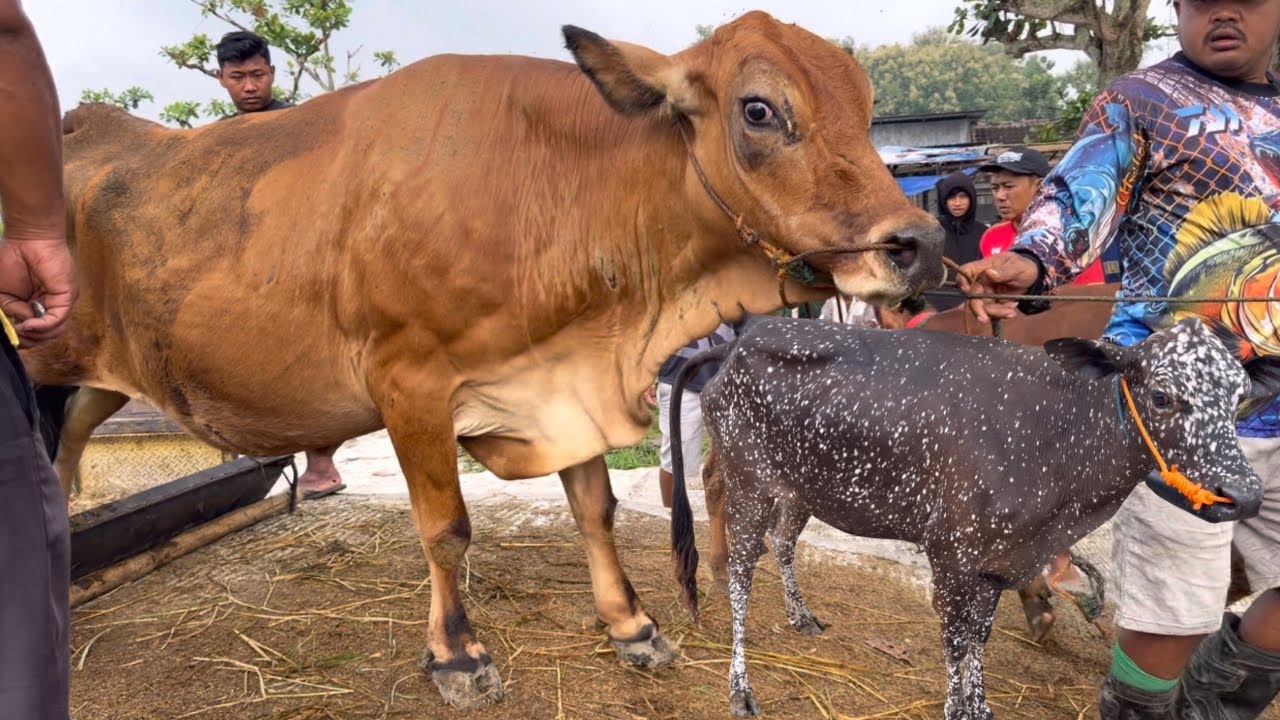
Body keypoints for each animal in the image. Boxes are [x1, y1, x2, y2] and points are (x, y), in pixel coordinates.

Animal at [18, 11, 944, 710]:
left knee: (67, 443)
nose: (920, 245)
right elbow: (446, 529)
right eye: (759, 110)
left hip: (102, 371)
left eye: (864, 104)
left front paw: (632, 625)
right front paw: (458, 654)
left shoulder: (560, 384)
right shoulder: (411, 384)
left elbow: (595, 508)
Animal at [667, 315, 1279, 719]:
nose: (1244, 495)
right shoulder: (953, 554)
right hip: (749, 482)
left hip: (801, 490)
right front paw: (954, 707)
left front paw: (977, 707)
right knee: (742, 572)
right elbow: (956, 638)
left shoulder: (999, 561)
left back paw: (801, 615)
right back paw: (740, 686)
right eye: (1161, 396)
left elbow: (980, 636)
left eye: (1241, 397)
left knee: (784, 542)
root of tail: (741, 339)